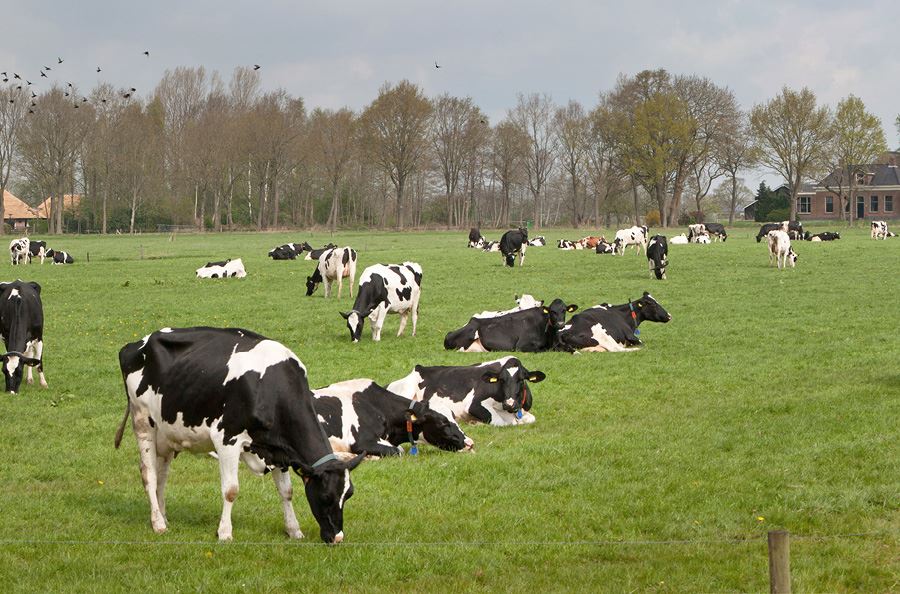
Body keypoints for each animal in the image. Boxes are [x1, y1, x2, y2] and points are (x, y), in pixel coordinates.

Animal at [116, 326, 366, 544]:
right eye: (326, 496)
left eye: (349, 494)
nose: (337, 538)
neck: (270, 388)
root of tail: (137, 343)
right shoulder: (226, 439)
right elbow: (231, 490)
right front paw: (225, 533)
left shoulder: (279, 448)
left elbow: (287, 491)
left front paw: (294, 530)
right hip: (143, 422)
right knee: (149, 474)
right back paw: (158, 523)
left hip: (168, 434)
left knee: (162, 475)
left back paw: (163, 516)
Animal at [384, 356, 544, 426]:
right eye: (501, 380)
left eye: (521, 380)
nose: (509, 404)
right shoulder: (474, 405)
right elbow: (502, 422)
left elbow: (530, 419)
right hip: (406, 390)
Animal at [442, 296, 576, 352]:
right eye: (552, 311)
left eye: (564, 310)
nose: (560, 324)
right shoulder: (522, 346)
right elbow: (542, 350)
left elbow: (571, 348)